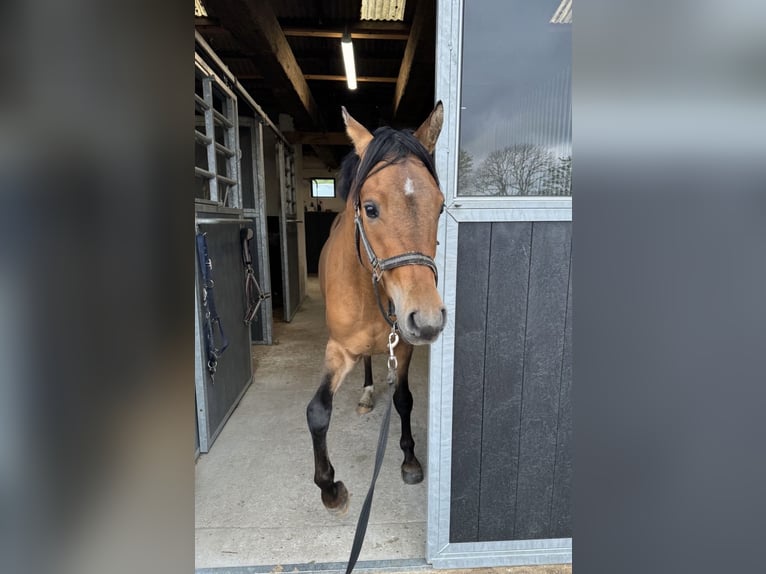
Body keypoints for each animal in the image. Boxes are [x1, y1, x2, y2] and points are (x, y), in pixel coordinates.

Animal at [308, 102, 450, 516]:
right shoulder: (338, 349)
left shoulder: (402, 348)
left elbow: (404, 400)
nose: (428, 320)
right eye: (370, 208)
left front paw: (410, 461)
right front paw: (330, 489)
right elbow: (318, 411)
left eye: (440, 207)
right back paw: (368, 392)